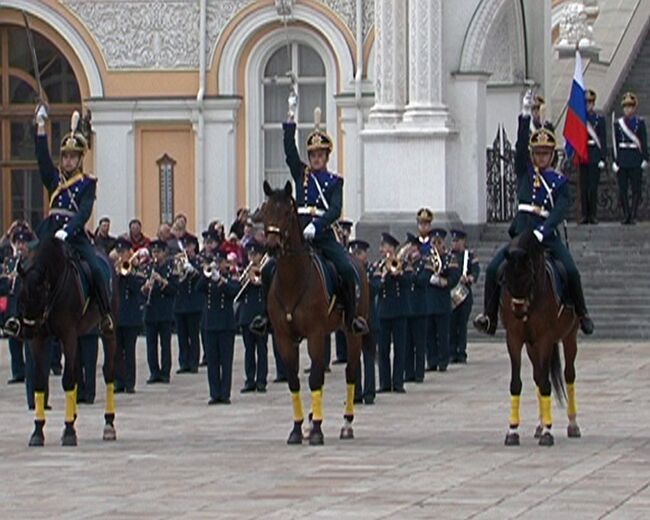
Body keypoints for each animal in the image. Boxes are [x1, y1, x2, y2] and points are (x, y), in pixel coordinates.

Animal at [14, 238, 118, 444]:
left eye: (41, 295)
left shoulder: (68, 334)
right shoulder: (39, 340)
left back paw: (108, 424)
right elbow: (40, 381)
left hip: (108, 331)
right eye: (21, 295)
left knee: (108, 372)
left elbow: (68, 380)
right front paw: (38, 431)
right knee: (77, 370)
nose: (27, 331)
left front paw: (69, 431)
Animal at [254, 181, 368, 444]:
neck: (292, 279)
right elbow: (295, 380)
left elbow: (315, 378)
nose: (271, 246)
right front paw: (298, 429)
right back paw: (311, 419)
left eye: (287, 212)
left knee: (350, 372)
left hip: (352, 331)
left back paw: (346, 424)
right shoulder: (285, 337)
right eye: (265, 211)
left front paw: (316, 430)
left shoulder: (315, 333)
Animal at [498, 231, 580, 446]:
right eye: (506, 279)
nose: (518, 310)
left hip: (570, 336)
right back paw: (539, 425)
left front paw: (548, 432)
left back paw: (572, 424)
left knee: (568, 375)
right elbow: (517, 383)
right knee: (537, 375)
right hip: (531, 346)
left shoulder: (545, 338)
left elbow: (546, 383)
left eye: (528, 277)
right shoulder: (514, 339)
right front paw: (512, 430)